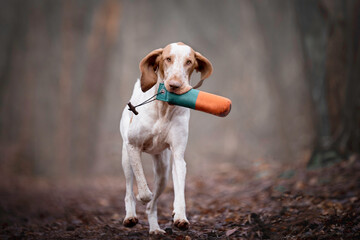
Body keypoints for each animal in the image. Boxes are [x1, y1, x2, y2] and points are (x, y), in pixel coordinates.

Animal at [119, 42, 212, 233]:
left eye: (189, 62)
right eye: (168, 59)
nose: (175, 85)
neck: (163, 108)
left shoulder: (178, 156)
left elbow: (180, 190)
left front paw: (180, 215)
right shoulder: (133, 146)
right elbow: (143, 189)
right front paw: (143, 195)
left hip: (163, 170)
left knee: (152, 206)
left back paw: (155, 228)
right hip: (126, 159)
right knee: (129, 190)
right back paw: (130, 216)